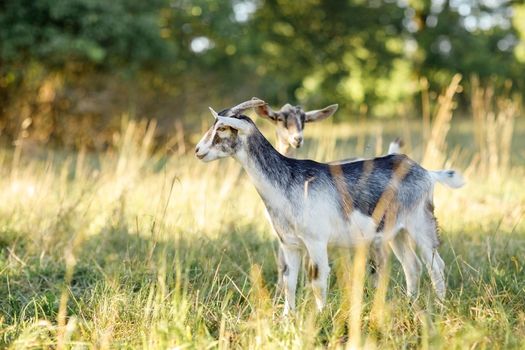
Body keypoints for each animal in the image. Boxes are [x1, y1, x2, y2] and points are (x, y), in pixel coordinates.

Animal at [195, 99, 462, 314]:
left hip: (420, 224)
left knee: (435, 265)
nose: (198, 150)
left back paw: (439, 306)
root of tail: (426, 172)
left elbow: (317, 281)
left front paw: (320, 317)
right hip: (396, 232)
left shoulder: (315, 241)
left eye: (222, 128)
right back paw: (410, 303)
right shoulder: (290, 244)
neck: (289, 181)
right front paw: (287, 318)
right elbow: (288, 281)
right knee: (412, 266)